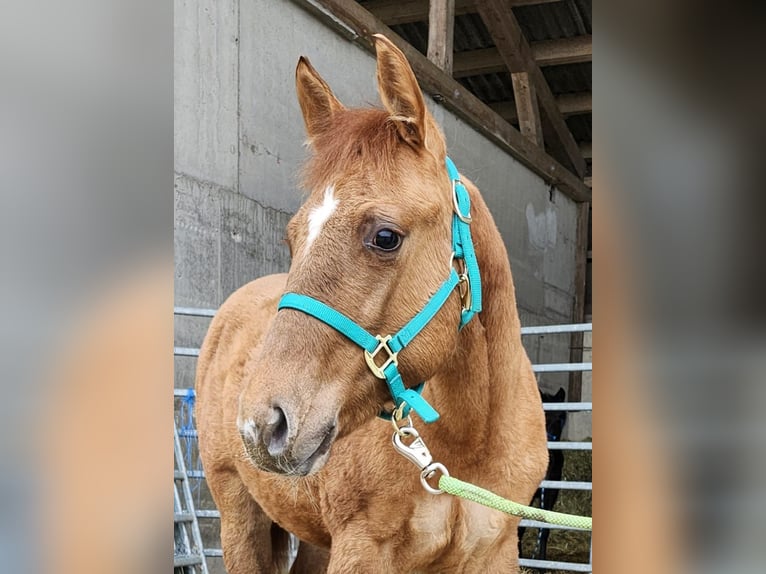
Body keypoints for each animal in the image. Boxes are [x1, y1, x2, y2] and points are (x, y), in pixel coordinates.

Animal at [195, 34, 548, 573]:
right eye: (292, 237)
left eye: (385, 237)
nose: (263, 424)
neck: (469, 443)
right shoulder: (362, 548)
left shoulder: (495, 551)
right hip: (239, 515)